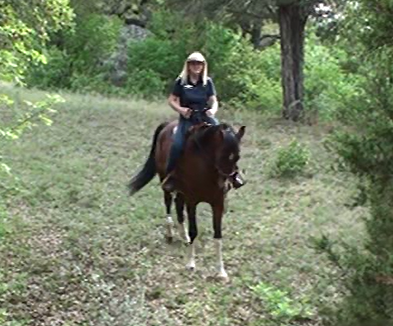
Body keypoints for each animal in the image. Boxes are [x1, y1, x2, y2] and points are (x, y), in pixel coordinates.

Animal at [129, 111, 245, 278]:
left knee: (178, 207)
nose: (226, 184)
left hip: (182, 193)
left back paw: (183, 236)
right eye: (222, 154)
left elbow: (218, 235)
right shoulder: (192, 202)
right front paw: (190, 264)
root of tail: (167, 125)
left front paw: (221, 271)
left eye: (237, 157)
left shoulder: (218, 203)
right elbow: (194, 230)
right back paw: (171, 233)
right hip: (165, 183)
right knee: (168, 203)